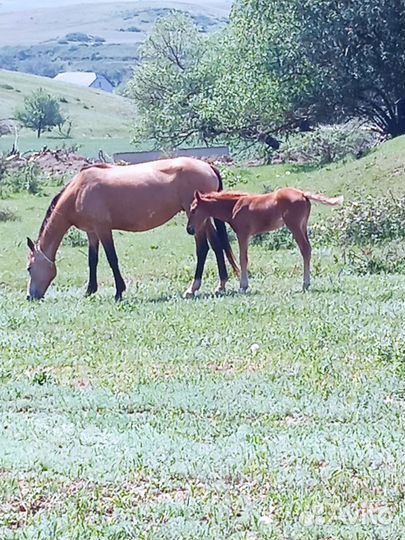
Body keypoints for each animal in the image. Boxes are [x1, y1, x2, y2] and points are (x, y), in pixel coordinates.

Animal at [26, 158, 237, 302]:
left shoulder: (103, 229)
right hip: (204, 218)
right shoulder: (91, 232)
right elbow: (92, 260)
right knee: (217, 245)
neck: (79, 191)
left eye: (29, 268)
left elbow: (112, 259)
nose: (30, 296)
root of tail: (208, 166)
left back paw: (192, 289)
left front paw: (119, 291)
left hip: (197, 220)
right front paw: (90, 290)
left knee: (203, 248)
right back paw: (221, 285)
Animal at [185, 189, 340, 294]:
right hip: (302, 226)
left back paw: (305, 284)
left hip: (294, 226)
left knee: (305, 249)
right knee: (308, 249)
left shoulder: (243, 234)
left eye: (193, 210)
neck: (234, 206)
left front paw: (243, 286)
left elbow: (243, 259)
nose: (189, 229)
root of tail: (303, 194)